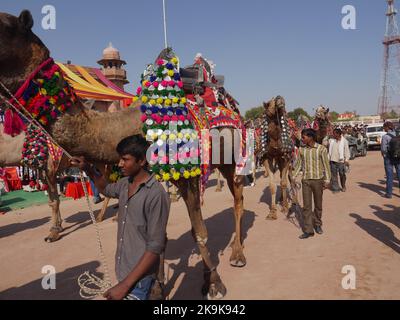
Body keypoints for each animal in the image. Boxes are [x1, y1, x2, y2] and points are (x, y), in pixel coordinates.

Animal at [0, 10, 247, 300]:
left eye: (4, 26)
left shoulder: (188, 175)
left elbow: (199, 232)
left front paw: (214, 283)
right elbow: (158, 234)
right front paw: (158, 287)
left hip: (236, 158)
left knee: (238, 200)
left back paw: (238, 254)